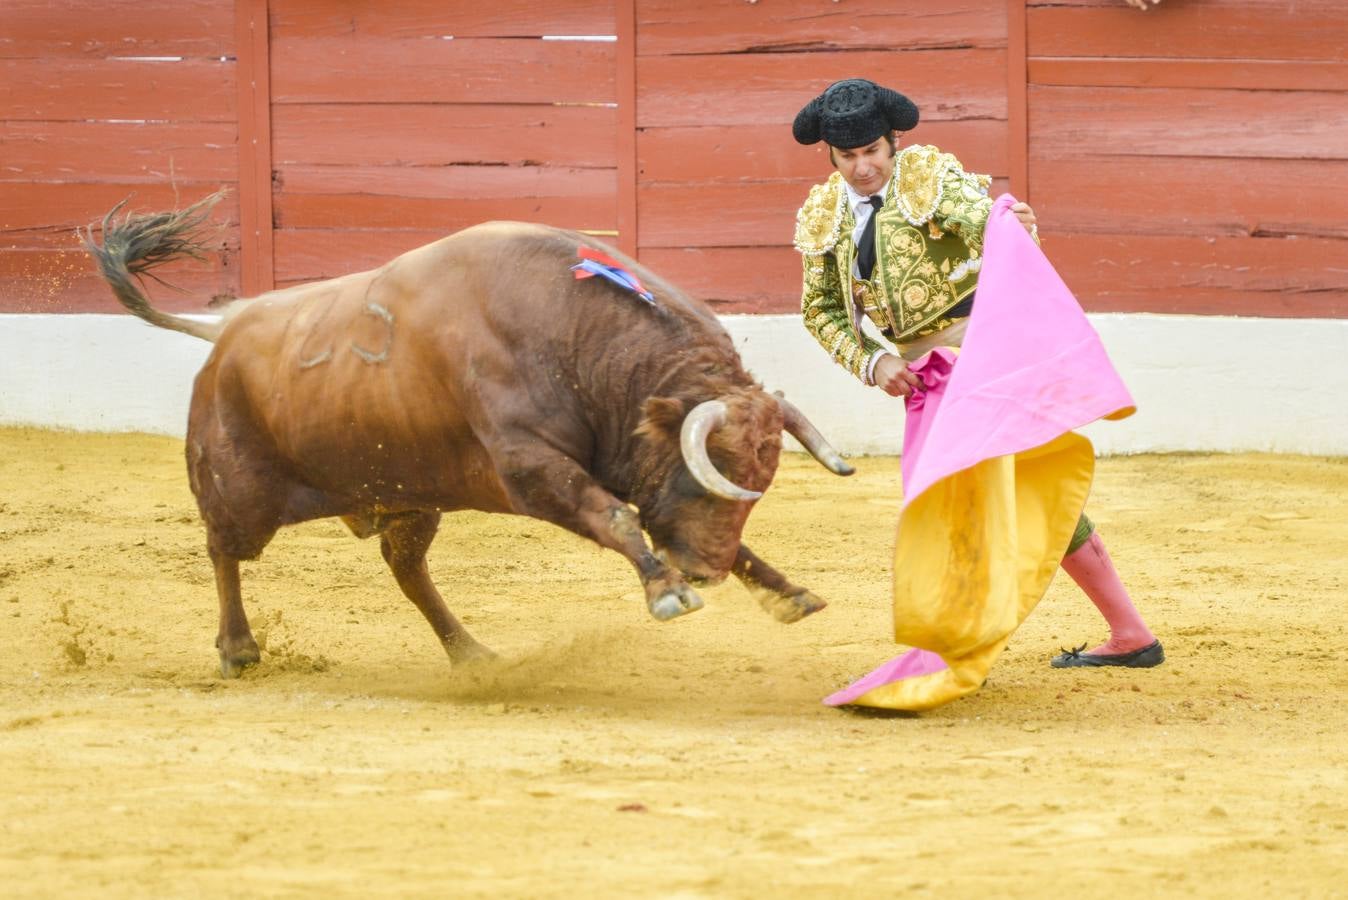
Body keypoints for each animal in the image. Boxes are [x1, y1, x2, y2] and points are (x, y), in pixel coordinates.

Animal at [84, 195, 846, 673]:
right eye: (710, 472)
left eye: (757, 483)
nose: (704, 570)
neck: (578, 338)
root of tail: (226, 328)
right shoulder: (531, 467)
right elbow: (613, 515)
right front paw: (666, 591)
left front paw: (788, 593)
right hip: (240, 490)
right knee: (223, 550)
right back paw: (238, 649)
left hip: (406, 497)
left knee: (407, 570)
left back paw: (469, 652)